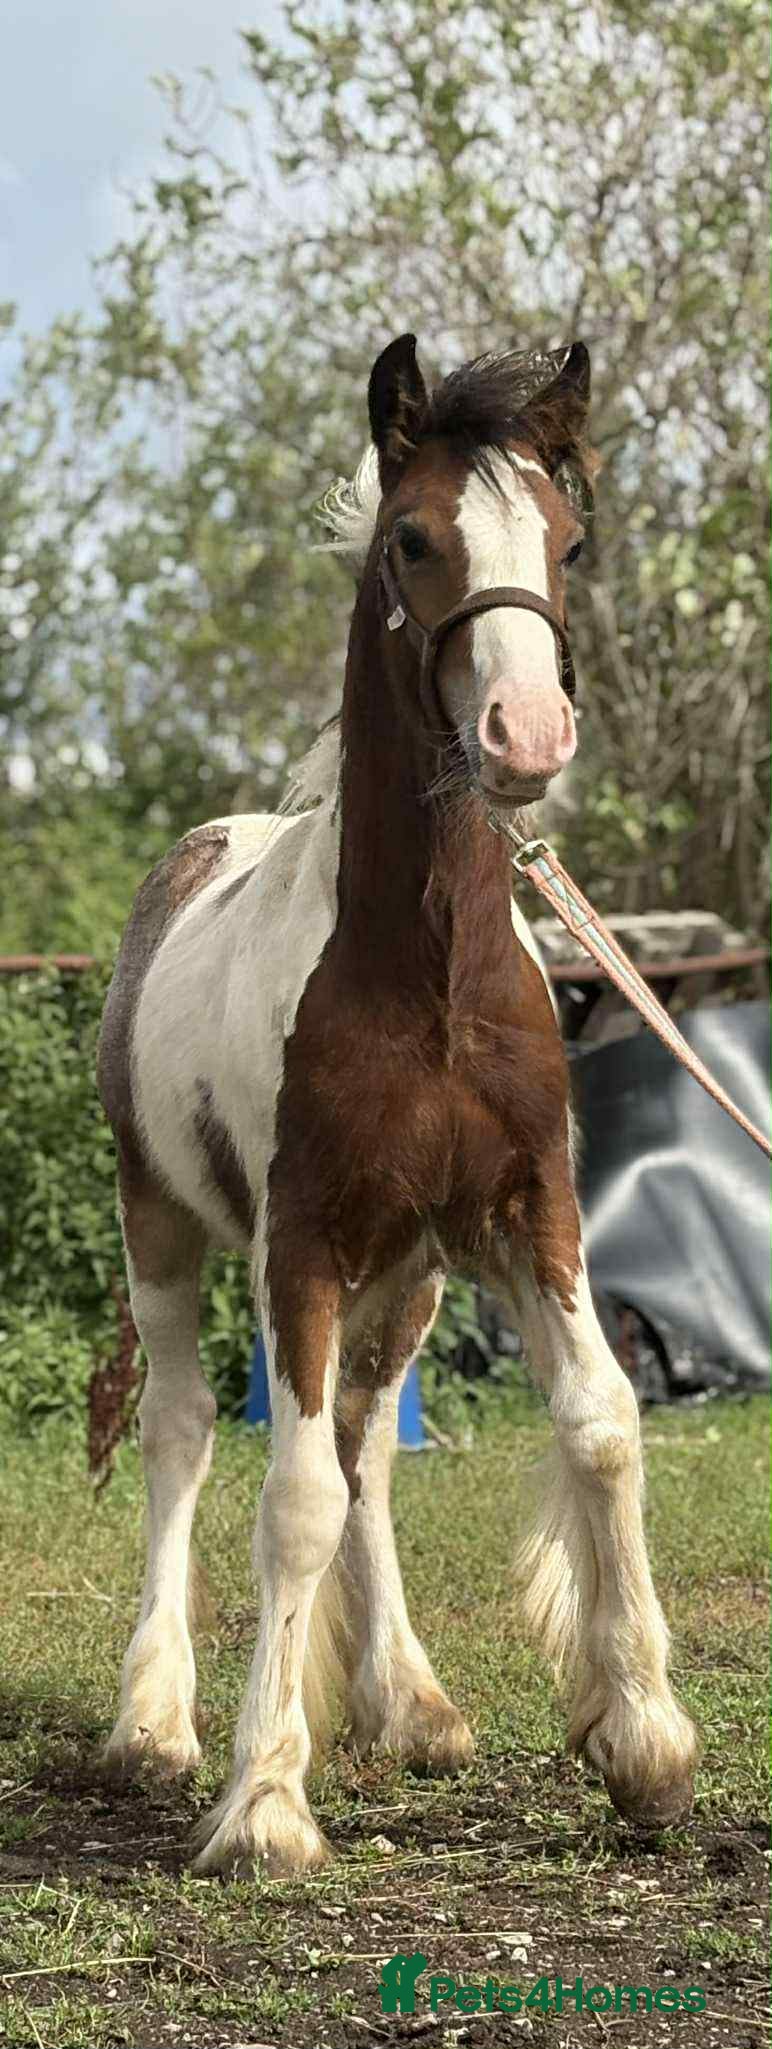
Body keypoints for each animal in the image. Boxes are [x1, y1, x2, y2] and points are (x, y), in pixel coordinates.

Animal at [96, 333, 697, 1876]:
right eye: (412, 539)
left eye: (567, 539)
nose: (527, 734)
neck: (423, 970)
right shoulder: (299, 1242)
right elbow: (290, 1493)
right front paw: (262, 1799)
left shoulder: (527, 1211)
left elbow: (601, 1422)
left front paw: (643, 1737)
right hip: (165, 1225)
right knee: (186, 1427)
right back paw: (155, 1722)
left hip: (409, 1275)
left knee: (368, 1437)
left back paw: (406, 1702)